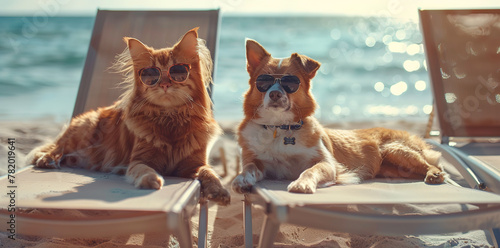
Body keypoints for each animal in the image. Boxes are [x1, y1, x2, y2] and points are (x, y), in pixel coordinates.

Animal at [32, 27, 231, 205]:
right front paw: (151, 179)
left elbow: (210, 173)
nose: (164, 84)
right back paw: (47, 160)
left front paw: (219, 190)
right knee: (54, 148)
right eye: (151, 74)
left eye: (178, 71)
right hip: (83, 133)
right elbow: (144, 170)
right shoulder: (138, 161)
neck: (170, 117)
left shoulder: (194, 165)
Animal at [230, 39, 446, 194]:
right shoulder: (257, 161)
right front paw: (241, 178)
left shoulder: (326, 163)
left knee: (430, 164)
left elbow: (310, 170)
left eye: (291, 82)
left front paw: (302, 184)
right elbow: (249, 167)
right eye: (263, 81)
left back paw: (434, 174)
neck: (279, 127)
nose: (274, 94)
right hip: (391, 167)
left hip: (395, 149)